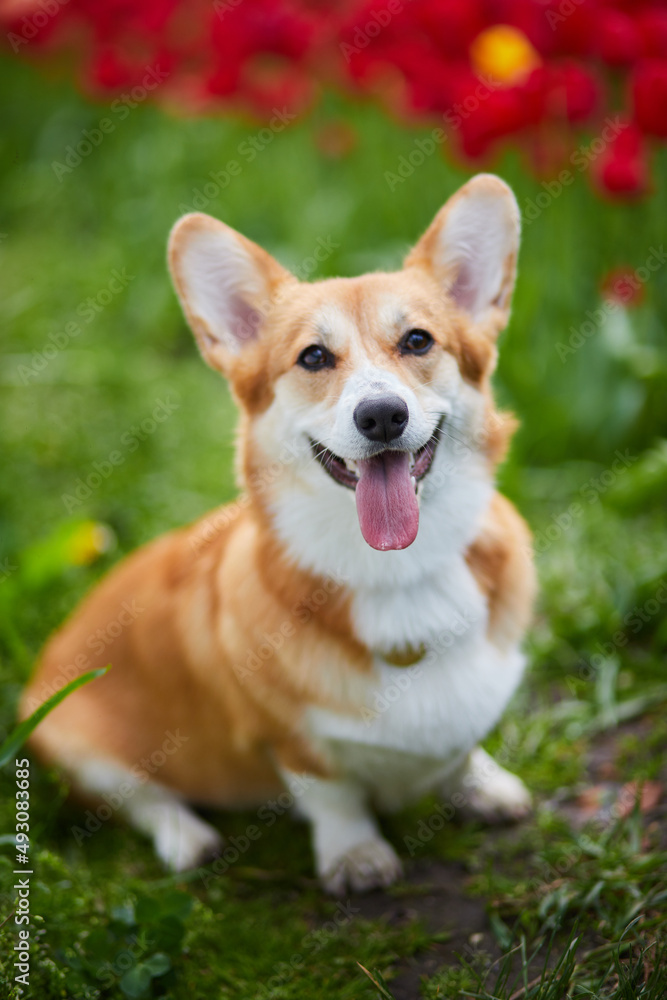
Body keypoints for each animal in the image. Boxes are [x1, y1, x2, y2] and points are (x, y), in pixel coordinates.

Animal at [22, 170, 536, 892]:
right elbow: (334, 794)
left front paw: (483, 785)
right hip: (71, 733)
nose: (382, 415)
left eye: (417, 341)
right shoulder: (291, 741)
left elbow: (461, 747)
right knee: (141, 800)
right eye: (313, 357)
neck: (400, 570)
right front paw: (355, 857)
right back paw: (187, 839)